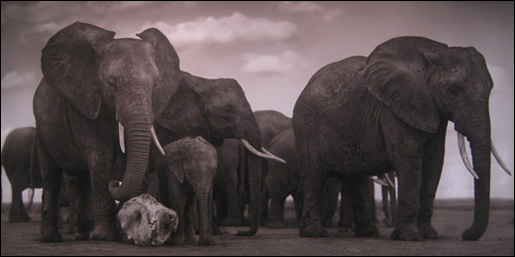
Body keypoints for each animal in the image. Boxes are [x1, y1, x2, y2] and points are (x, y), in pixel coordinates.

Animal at [33, 21, 180, 240]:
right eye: (112, 84)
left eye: (154, 85)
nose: (115, 183)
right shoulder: (84, 104)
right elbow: (99, 158)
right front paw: (105, 236)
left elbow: (127, 158)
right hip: (42, 128)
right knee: (50, 176)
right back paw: (51, 239)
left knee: (83, 178)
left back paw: (82, 235)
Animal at [294, 36, 512, 240]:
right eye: (453, 91)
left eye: (490, 89)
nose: (465, 234)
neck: (436, 52)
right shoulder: (394, 107)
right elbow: (409, 159)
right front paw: (409, 237)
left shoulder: (431, 108)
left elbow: (434, 162)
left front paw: (429, 236)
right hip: (307, 126)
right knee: (314, 176)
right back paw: (315, 233)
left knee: (353, 180)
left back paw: (368, 233)